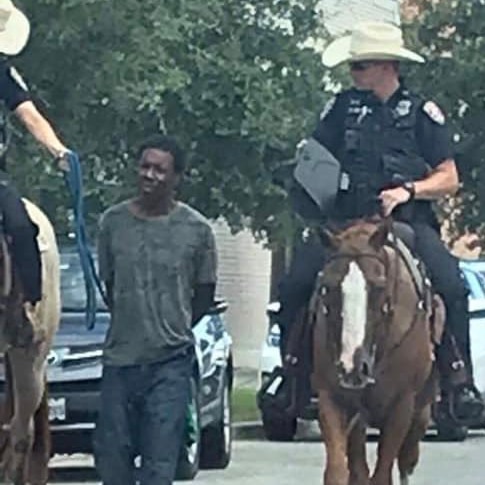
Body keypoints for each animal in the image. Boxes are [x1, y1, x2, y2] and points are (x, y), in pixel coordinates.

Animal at [310, 219, 442, 484]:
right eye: (328, 286)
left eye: (379, 286)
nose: (351, 367)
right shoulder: (331, 397)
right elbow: (338, 471)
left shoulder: (401, 404)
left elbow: (383, 473)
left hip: (421, 412)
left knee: (407, 458)